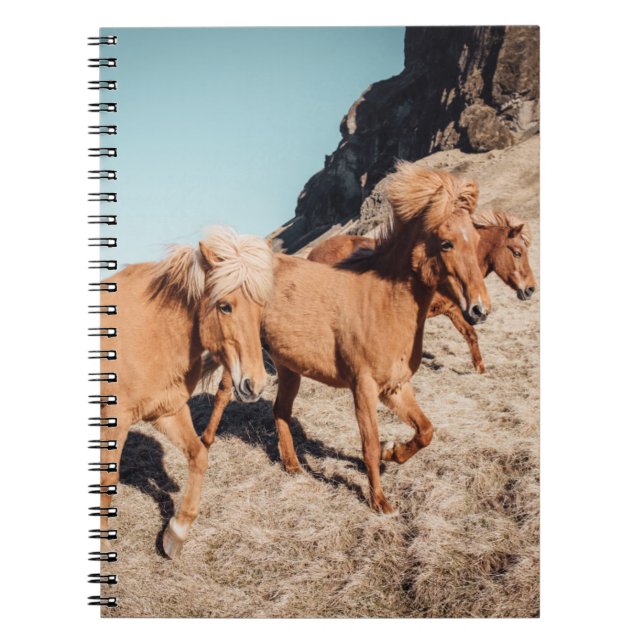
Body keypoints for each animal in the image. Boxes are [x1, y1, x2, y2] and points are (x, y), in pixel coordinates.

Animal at [99, 226, 274, 558]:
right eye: (225, 306)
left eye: (261, 308)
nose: (254, 385)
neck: (154, 331)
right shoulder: (115, 418)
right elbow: (106, 479)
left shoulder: (167, 410)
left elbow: (199, 455)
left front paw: (176, 532)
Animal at [200, 163, 491, 515]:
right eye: (447, 243)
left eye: (477, 239)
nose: (479, 309)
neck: (383, 303)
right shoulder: (363, 387)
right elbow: (369, 444)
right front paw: (380, 502)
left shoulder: (396, 387)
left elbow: (425, 431)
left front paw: (393, 451)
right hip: (245, 359)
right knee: (224, 393)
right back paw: (206, 442)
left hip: (288, 368)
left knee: (281, 410)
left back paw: (293, 466)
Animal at [307, 209, 536, 373]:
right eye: (517, 252)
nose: (531, 288)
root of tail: (313, 253)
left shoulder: (453, 310)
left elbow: (470, 334)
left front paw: (480, 369)